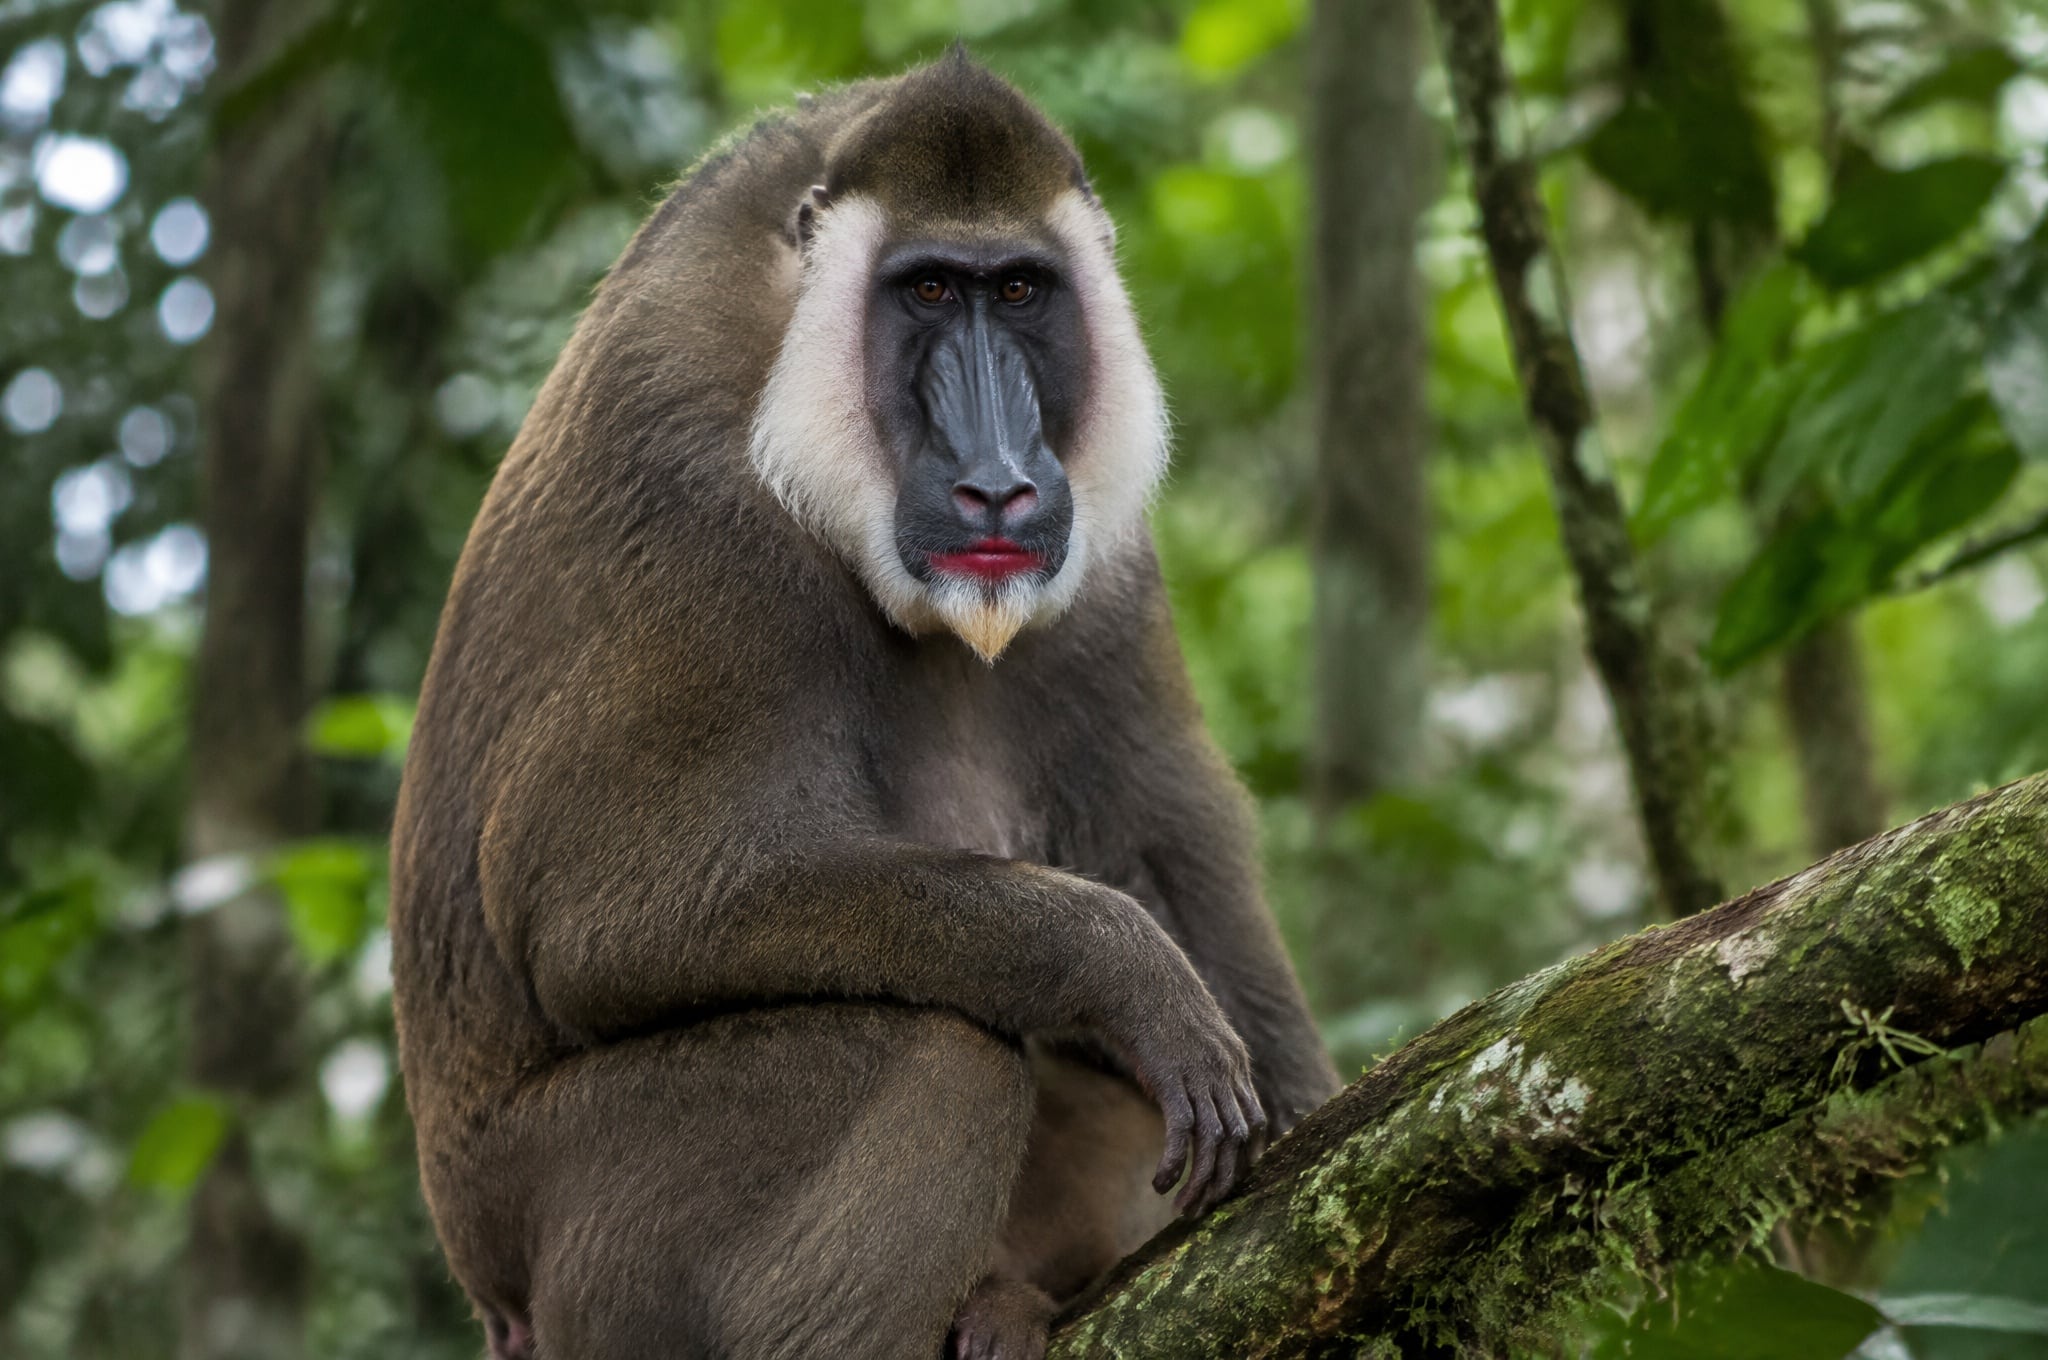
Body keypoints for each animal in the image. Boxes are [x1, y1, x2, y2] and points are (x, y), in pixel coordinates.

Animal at [389, 53, 1338, 1360]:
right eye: (929, 290)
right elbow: (605, 913)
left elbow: (1166, 834)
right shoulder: (706, 507)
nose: (999, 484)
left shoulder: (1102, 552)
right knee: (943, 1050)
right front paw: (1123, 970)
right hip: (589, 1230)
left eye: (1019, 291)